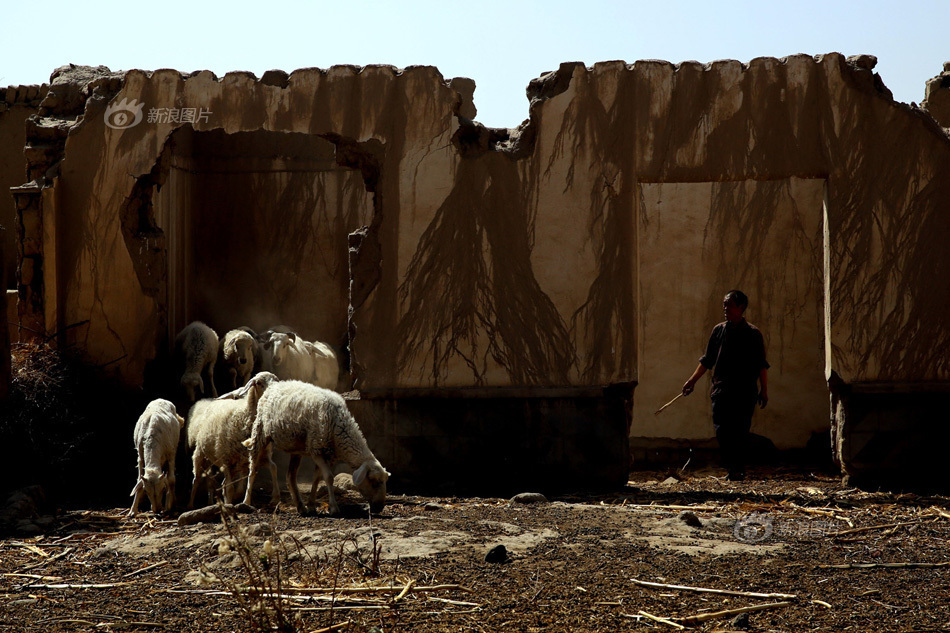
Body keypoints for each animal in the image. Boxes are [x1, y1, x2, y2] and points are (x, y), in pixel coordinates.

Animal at [184, 372, 278, 506]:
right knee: (197, 479)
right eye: (259, 383)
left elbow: (270, 469)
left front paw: (273, 497)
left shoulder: (259, 456)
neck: (244, 415)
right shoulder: (226, 459)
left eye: (276, 380)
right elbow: (230, 488)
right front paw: (231, 503)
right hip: (200, 453)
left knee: (219, 482)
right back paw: (190, 504)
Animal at [244, 380, 388, 512]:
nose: (380, 507)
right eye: (374, 482)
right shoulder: (317, 449)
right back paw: (246, 502)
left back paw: (300, 506)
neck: (337, 425)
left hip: (296, 447)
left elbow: (317, 478)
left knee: (290, 476)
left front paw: (312, 505)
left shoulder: (327, 454)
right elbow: (329, 477)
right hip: (260, 432)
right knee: (253, 469)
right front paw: (333, 507)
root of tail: (274, 385)